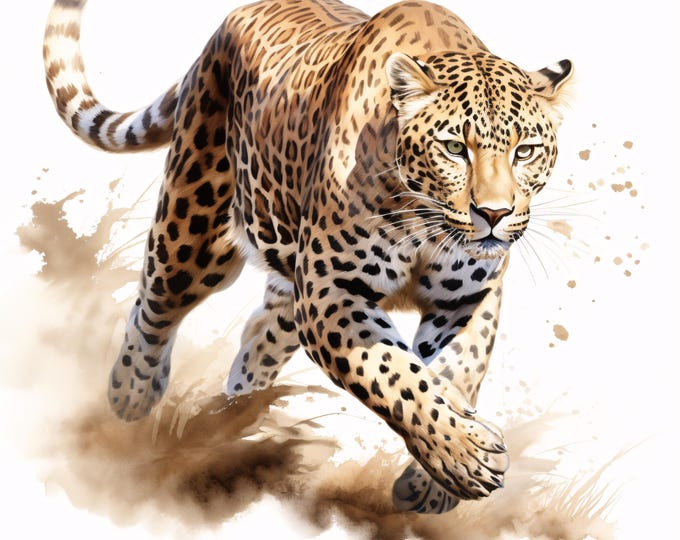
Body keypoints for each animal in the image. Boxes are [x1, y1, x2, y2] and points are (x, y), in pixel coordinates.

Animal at [43, 0, 573, 514]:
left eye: (526, 151)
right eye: (453, 148)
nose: (494, 213)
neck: (425, 220)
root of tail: (226, 25)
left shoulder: (466, 299)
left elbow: (459, 371)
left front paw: (433, 483)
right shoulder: (329, 291)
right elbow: (395, 375)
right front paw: (466, 457)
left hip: (283, 267)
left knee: (261, 329)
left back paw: (234, 421)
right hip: (195, 233)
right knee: (153, 304)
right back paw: (131, 395)